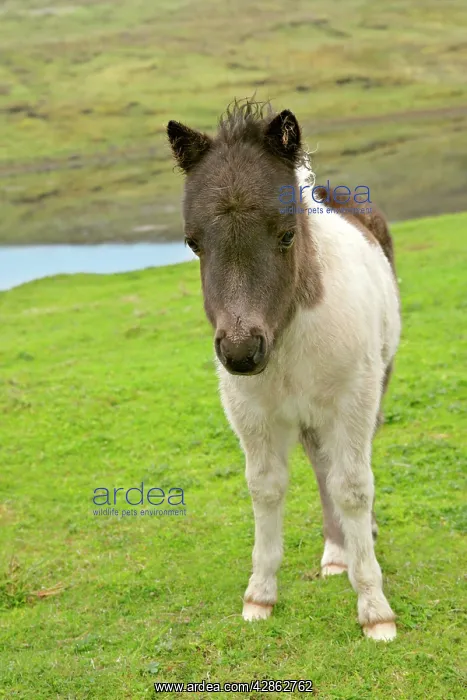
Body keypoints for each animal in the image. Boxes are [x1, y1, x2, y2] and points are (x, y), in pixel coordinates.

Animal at [167, 100, 401, 641]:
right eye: (193, 243)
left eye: (287, 235)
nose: (240, 353)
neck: (286, 336)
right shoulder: (251, 412)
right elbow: (267, 487)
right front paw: (260, 596)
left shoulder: (353, 401)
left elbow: (353, 487)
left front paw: (375, 610)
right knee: (320, 465)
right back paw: (336, 554)